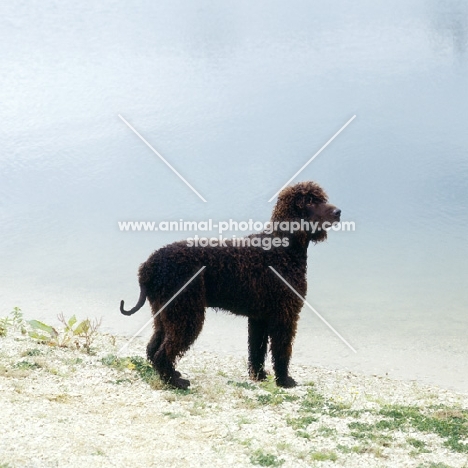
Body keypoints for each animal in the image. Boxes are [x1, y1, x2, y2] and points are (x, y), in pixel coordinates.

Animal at [120, 181, 340, 390]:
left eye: (321, 198)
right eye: (309, 201)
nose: (338, 212)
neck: (284, 248)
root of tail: (148, 266)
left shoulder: (259, 317)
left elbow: (257, 350)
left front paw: (259, 376)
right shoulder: (284, 315)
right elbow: (281, 351)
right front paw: (284, 380)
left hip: (166, 312)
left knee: (154, 346)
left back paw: (171, 374)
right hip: (185, 312)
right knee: (163, 352)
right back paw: (174, 382)